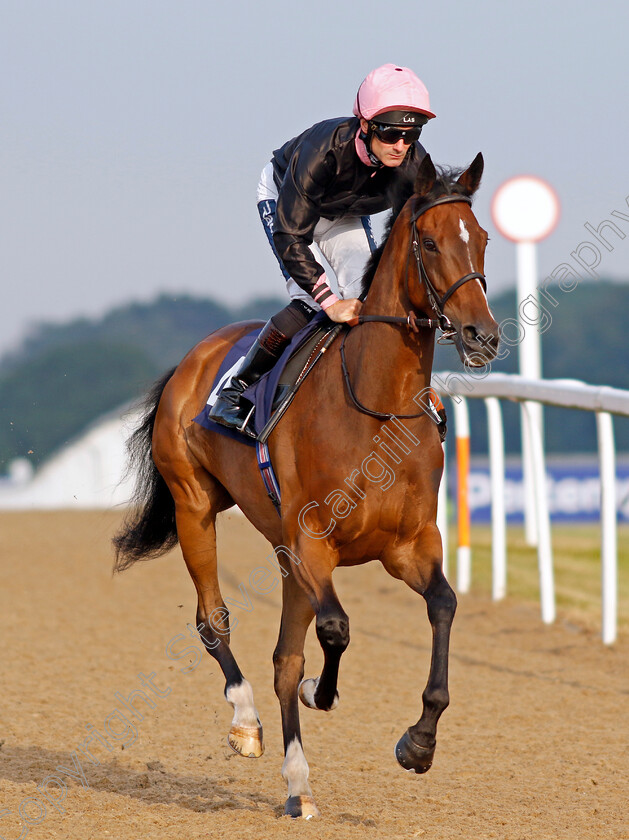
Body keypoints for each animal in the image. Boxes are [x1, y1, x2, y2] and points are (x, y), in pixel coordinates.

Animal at [111, 149, 496, 812]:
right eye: (429, 241)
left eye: (484, 240)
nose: (482, 336)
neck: (376, 407)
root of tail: (193, 359)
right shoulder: (314, 541)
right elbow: (336, 630)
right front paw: (325, 690)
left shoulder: (411, 544)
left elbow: (443, 606)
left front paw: (418, 742)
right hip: (196, 507)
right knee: (214, 619)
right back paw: (245, 723)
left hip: (284, 553)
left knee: (283, 659)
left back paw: (299, 785)